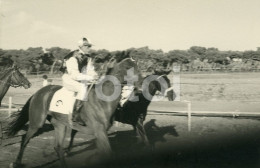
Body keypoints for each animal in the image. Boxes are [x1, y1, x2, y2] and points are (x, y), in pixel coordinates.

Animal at [6, 56, 143, 168]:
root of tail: (38, 92)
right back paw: (16, 162)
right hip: (37, 122)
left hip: (60, 124)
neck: (102, 101)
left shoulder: (101, 133)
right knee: (25, 140)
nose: (141, 85)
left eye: (138, 67)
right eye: (128, 68)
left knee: (58, 147)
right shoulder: (100, 131)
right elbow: (109, 154)